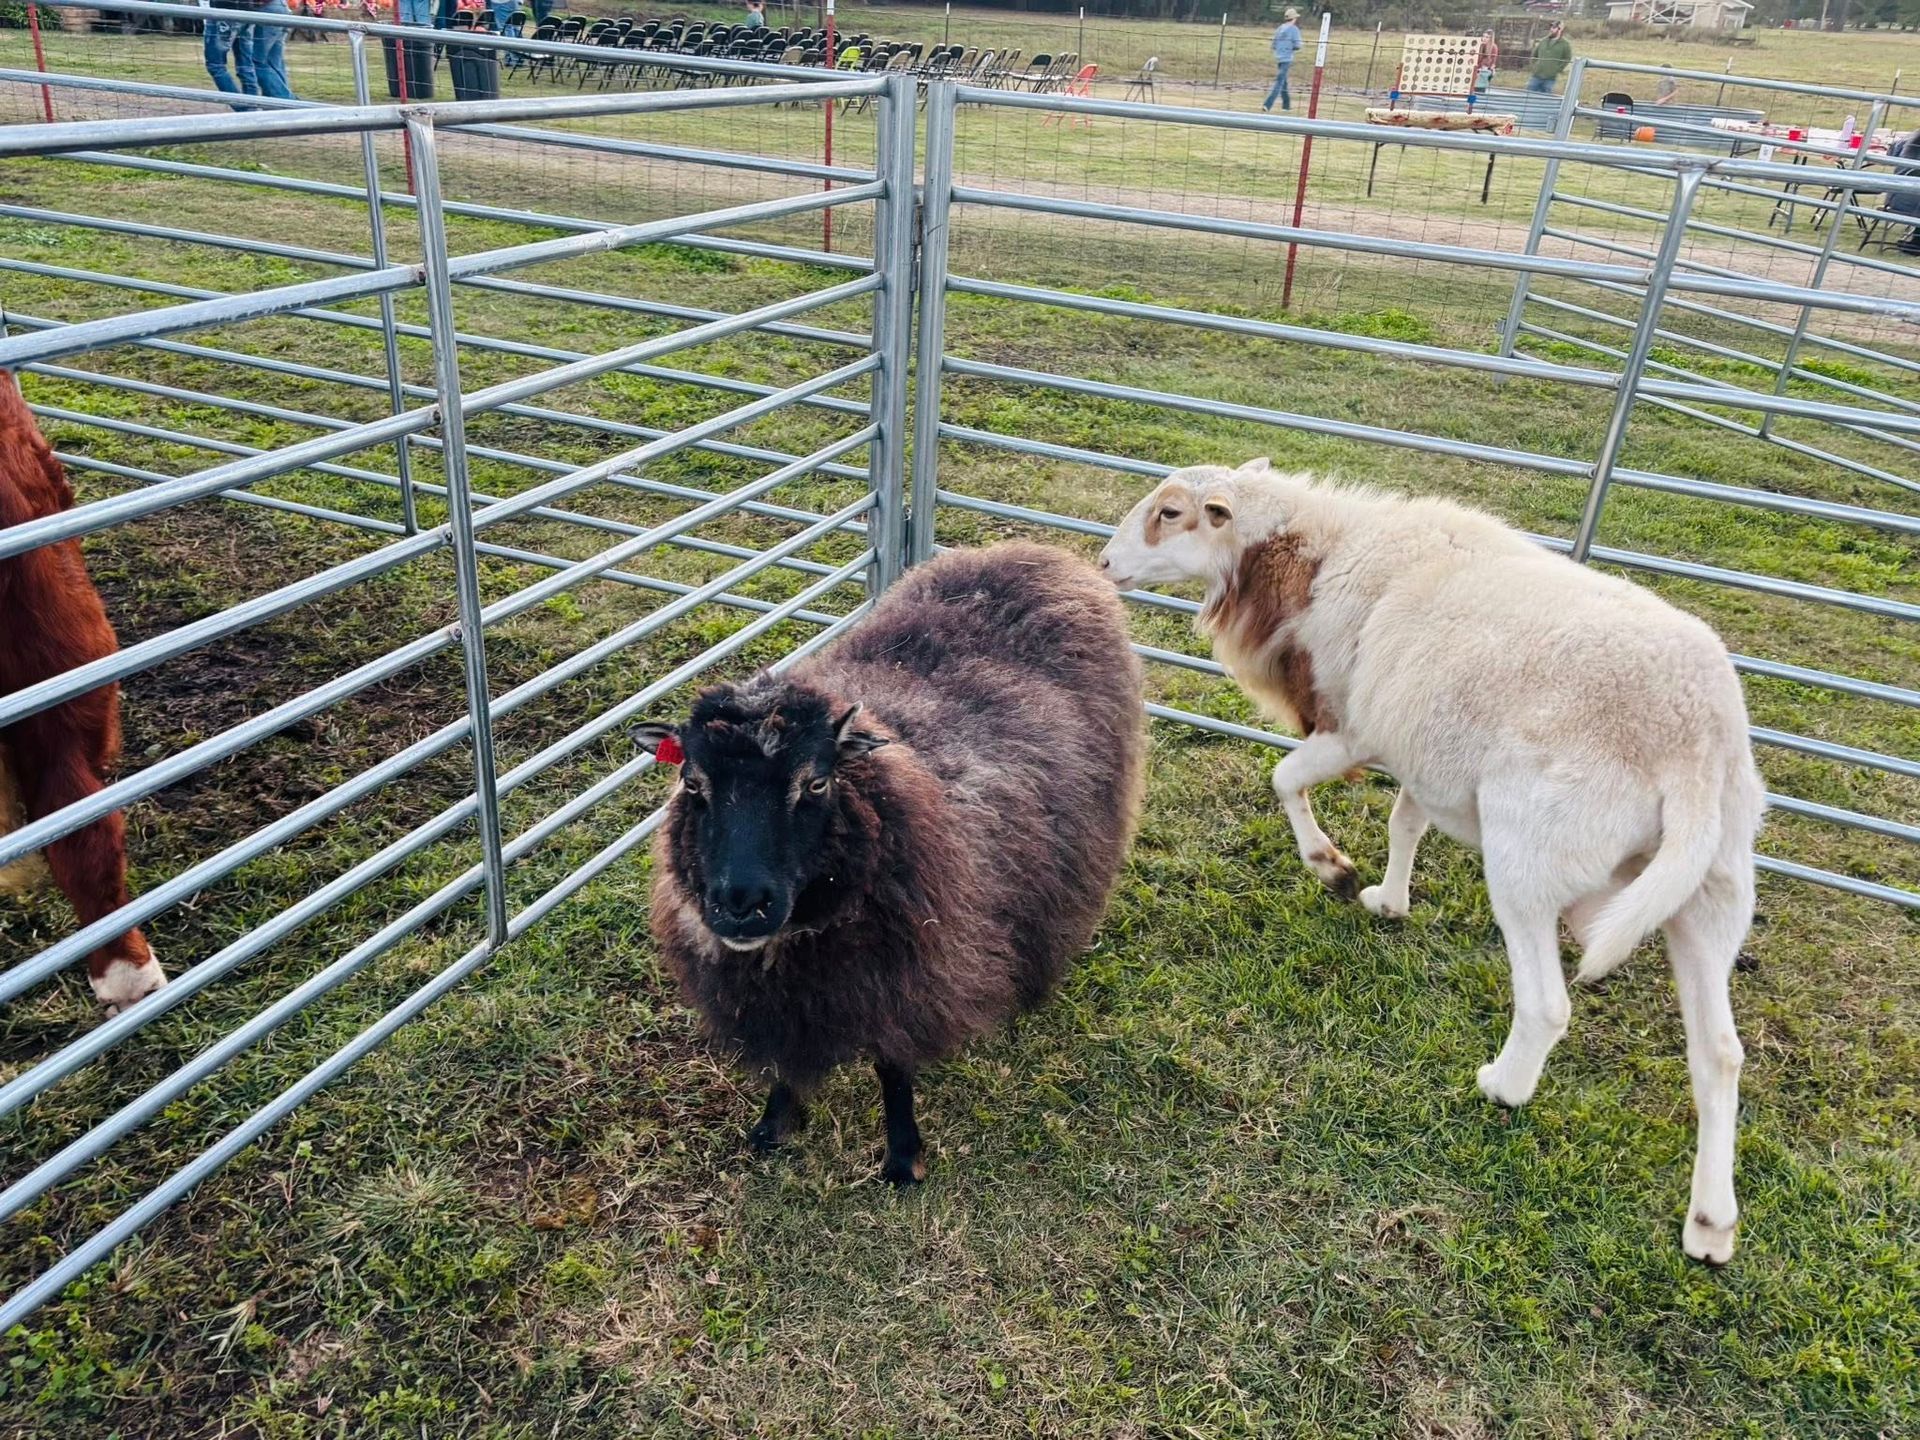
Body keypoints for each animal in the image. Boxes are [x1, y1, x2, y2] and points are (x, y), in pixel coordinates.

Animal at [632, 541, 1146, 1184]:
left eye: (817, 782)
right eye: (692, 782)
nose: (740, 904)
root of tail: (1034, 549)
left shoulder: (907, 974)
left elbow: (893, 1070)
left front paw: (904, 1158)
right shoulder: (784, 998)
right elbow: (785, 1060)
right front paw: (775, 1125)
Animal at [1099, 459, 1765, 1265]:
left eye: (1170, 513)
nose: (1103, 564)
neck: (1312, 559)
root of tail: (1693, 744)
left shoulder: (1352, 727)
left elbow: (1285, 779)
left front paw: (1332, 867)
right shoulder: (1418, 751)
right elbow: (1406, 821)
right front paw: (1388, 899)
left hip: (1529, 854)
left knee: (1547, 1004)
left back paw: (1503, 1085)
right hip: (1710, 894)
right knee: (1719, 1055)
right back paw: (1711, 1223)